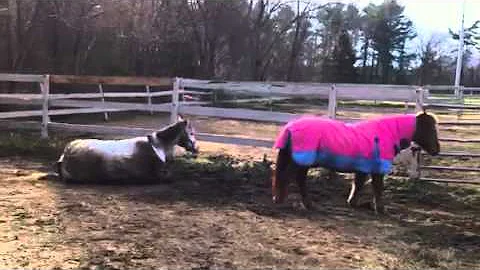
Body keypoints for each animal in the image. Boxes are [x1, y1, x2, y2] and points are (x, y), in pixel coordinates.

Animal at [56, 118, 199, 184]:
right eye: (191, 133)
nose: (196, 149)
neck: (158, 146)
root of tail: (66, 152)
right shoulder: (159, 175)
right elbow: (173, 177)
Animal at [272, 112, 440, 215]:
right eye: (429, 129)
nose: (436, 150)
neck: (383, 134)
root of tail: (290, 127)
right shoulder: (377, 169)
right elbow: (378, 188)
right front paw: (381, 210)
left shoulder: (363, 167)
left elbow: (358, 184)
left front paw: (352, 202)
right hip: (301, 161)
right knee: (289, 177)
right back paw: (280, 200)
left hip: (302, 162)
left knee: (298, 179)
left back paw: (307, 204)